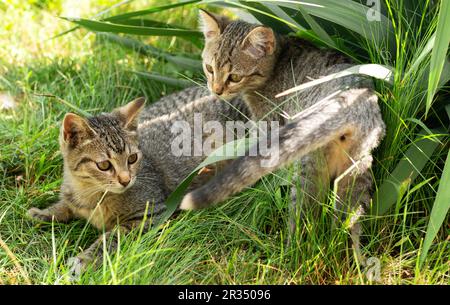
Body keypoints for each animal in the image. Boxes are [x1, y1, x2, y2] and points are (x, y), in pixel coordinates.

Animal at [27, 86, 250, 274]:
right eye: (104, 165)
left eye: (132, 158)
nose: (126, 180)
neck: (92, 195)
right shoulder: (73, 198)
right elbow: (63, 206)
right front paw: (43, 213)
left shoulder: (151, 213)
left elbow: (112, 237)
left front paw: (85, 260)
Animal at [181, 10, 384, 252]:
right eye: (210, 68)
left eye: (234, 77)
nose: (216, 90)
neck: (277, 63)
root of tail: (353, 99)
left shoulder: (268, 125)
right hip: (356, 171)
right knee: (349, 220)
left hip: (307, 167)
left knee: (303, 217)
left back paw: (290, 251)